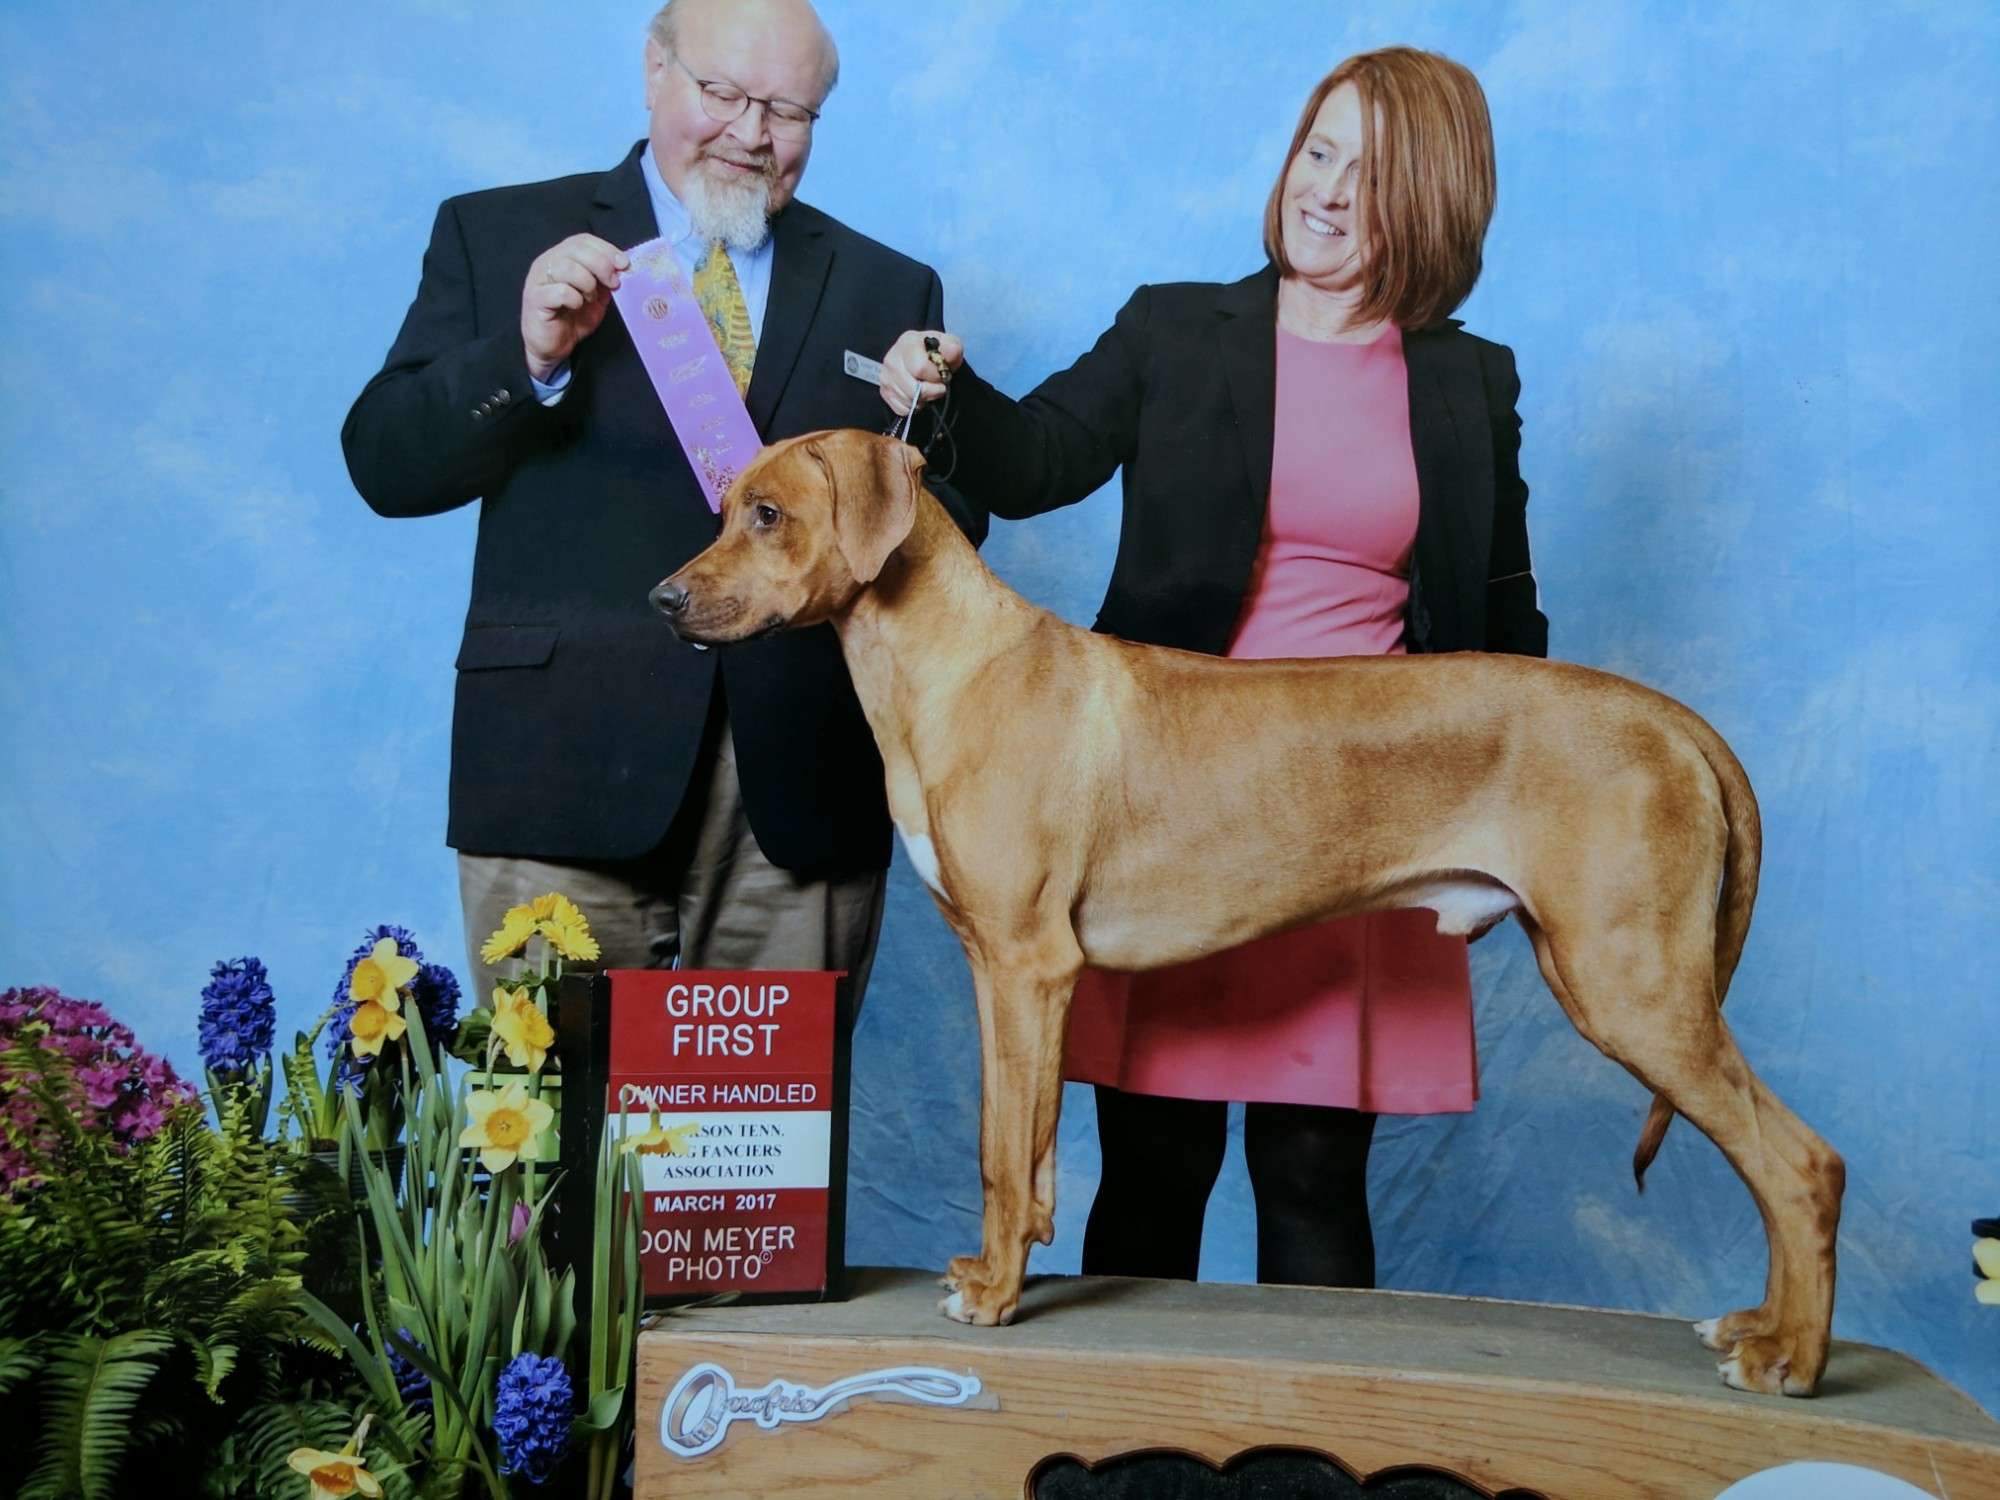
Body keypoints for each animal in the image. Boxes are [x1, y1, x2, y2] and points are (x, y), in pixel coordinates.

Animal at [652, 426, 1840, 1400]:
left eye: (767, 513)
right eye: (724, 506)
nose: (663, 601)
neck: (949, 666)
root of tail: (1669, 718)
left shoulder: (1027, 966)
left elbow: (1000, 1149)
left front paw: (992, 1297)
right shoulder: (1007, 976)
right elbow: (1018, 1149)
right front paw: (1004, 1261)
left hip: (1629, 983)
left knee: (1800, 1165)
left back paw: (1790, 1356)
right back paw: (1763, 1329)